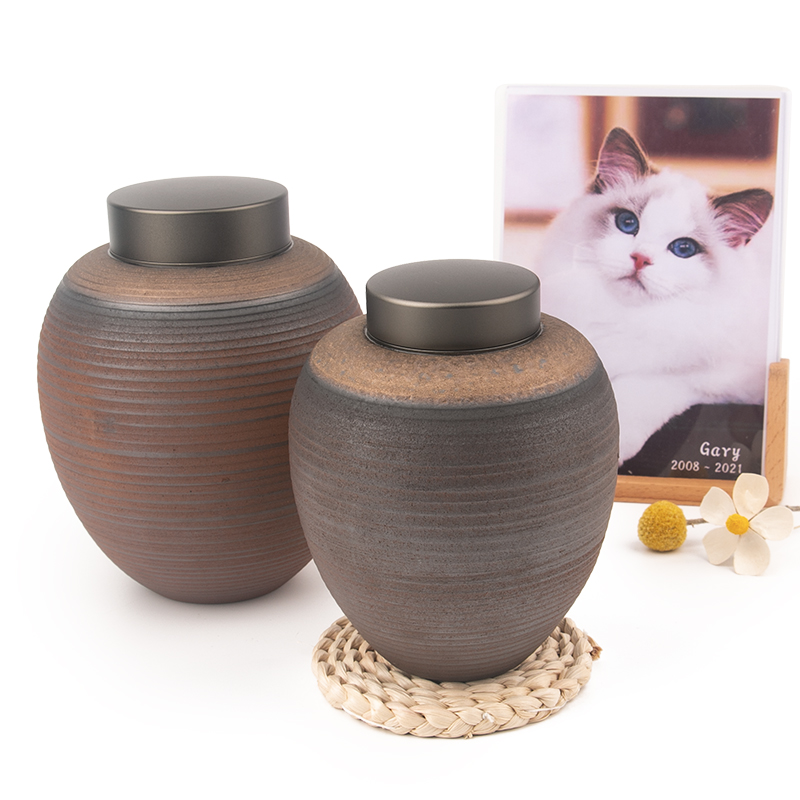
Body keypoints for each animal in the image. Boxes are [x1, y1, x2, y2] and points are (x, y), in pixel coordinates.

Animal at [535, 127, 774, 465]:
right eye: (627, 223)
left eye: (683, 248)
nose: (640, 259)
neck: (622, 315)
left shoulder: (725, 378)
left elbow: (642, 388)